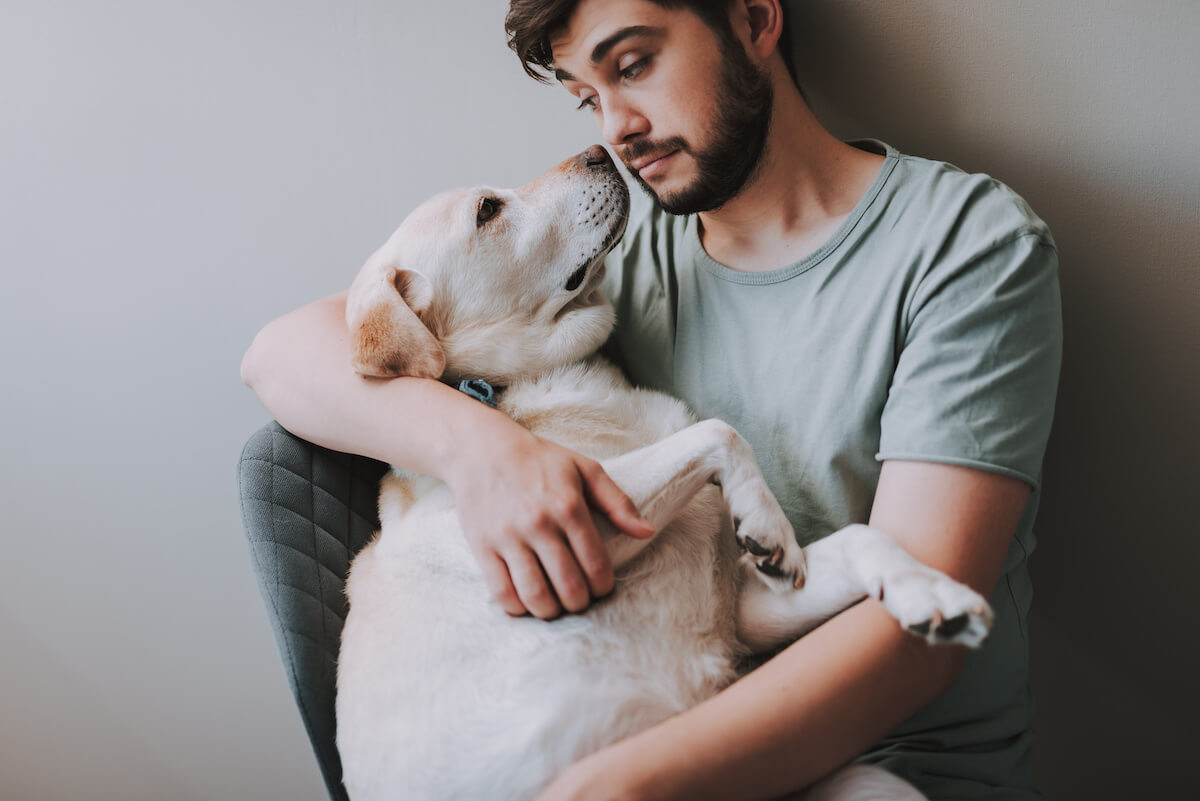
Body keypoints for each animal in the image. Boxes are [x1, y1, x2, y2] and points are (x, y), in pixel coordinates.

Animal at [333, 146, 988, 801]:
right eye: (488, 210)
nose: (599, 150)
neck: (514, 388)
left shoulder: (743, 611)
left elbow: (861, 538)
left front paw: (928, 591)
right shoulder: (577, 533)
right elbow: (718, 431)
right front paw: (767, 520)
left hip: (874, 784)